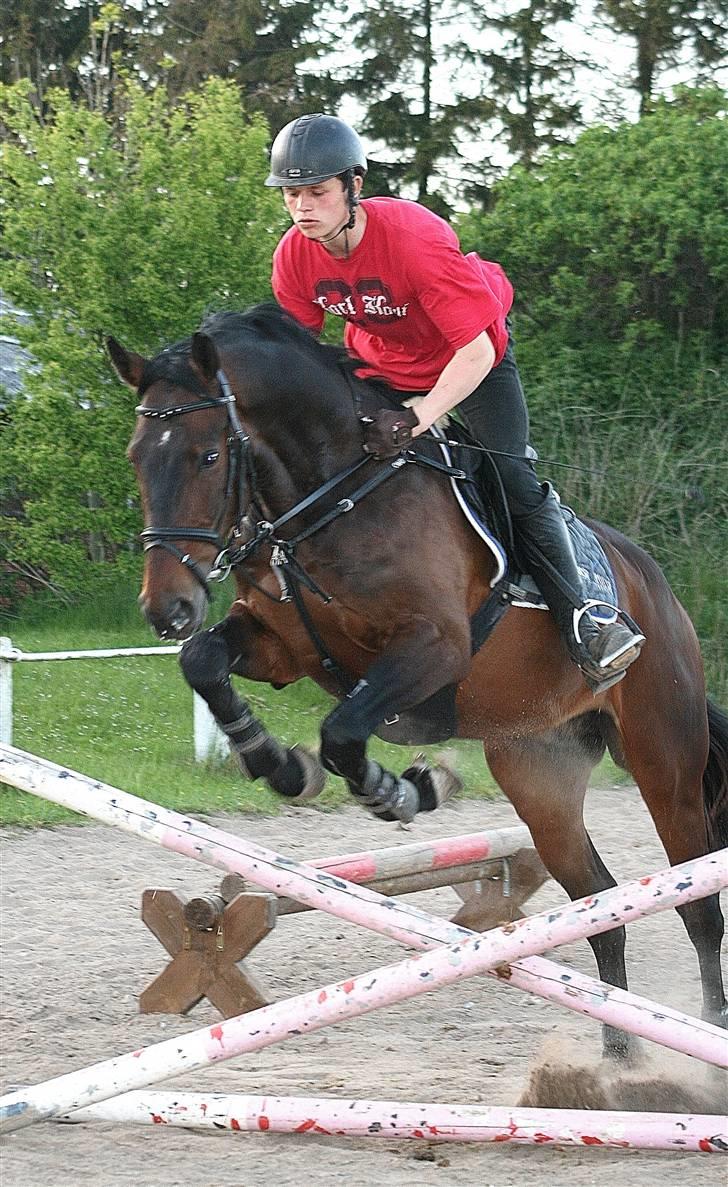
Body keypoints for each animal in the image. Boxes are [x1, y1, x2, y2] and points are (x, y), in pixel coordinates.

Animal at [108, 303, 726, 1058]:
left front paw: (400, 788)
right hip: (540, 770)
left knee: (697, 905)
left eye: (208, 455)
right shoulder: (281, 649)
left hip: (665, 763)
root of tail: (658, 590)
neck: (330, 498)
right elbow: (204, 662)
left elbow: (344, 730)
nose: (165, 609)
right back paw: (618, 1059)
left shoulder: (434, 648)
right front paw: (278, 763)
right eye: (138, 457)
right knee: (602, 907)